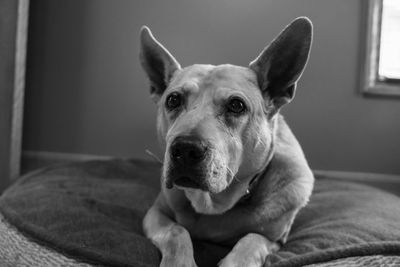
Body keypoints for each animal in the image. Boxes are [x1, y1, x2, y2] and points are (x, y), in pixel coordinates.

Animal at [141, 17, 316, 266]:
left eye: (236, 105)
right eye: (173, 100)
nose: (185, 149)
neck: (213, 205)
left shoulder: (275, 239)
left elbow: (251, 239)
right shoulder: (155, 214)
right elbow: (177, 232)